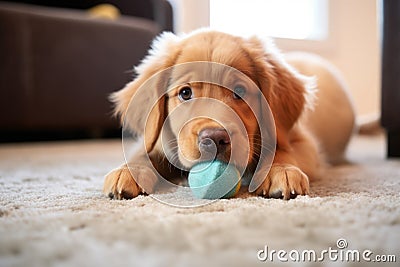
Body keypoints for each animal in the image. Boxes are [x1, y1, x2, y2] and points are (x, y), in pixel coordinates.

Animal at [104, 29, 356, 201]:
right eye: (185, 93)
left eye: (240, 91)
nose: (214, 139)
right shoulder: (154, 137)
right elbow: (143, 152)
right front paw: (129, 171)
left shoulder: (304, 143)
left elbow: (282, 150)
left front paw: (282, 171)